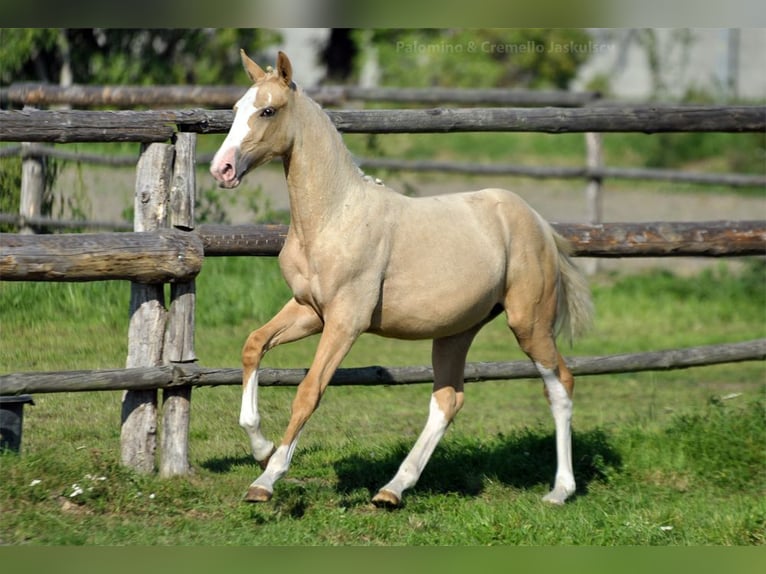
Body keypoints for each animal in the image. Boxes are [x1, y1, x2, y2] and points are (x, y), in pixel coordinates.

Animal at [210, 50, 592, 508]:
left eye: (268, 111)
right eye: (235, 109)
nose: (221, 169)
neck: (333, 216)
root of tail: (538, 222)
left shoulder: (346, 321)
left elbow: (309, 391)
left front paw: (266, 479)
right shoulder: (309, 311)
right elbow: (253, 346)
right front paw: (261, 448)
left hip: (528, 323)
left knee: (561, 385)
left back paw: (560, 491)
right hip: (456, 331)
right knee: (448, 400)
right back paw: (392, 489)